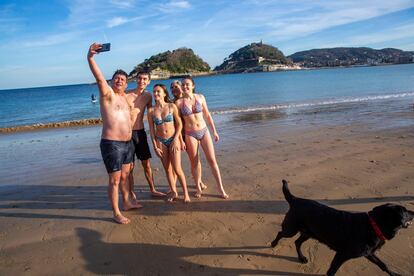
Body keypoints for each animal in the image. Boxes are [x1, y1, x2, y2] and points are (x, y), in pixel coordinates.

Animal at [270, 180, 412, 274]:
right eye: (405, 212)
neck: (373, 225)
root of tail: (294, 199)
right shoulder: (341, 255)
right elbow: (332, 271)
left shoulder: (369, 253)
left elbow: (383, 265)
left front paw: (394, 274)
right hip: (291, 229)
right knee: (280, 233)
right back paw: (273, 243)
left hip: (308, 232)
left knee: (297, 242)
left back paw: (301, 258)